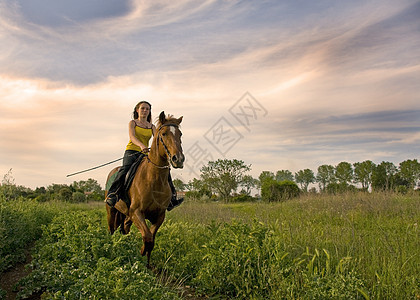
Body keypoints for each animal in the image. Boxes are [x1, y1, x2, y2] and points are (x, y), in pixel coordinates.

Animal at [105, 111, 184, 266]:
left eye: (180, 134)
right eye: (164, 133)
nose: (178, 159)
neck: (153, 179)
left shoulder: (159, 216)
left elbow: (151, 240)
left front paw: (146, 265)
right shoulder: (136, 213)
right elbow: (147, 237)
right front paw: (140, 254)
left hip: (126, 215)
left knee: (124, 228)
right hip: (111, 211)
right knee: (112, 230)